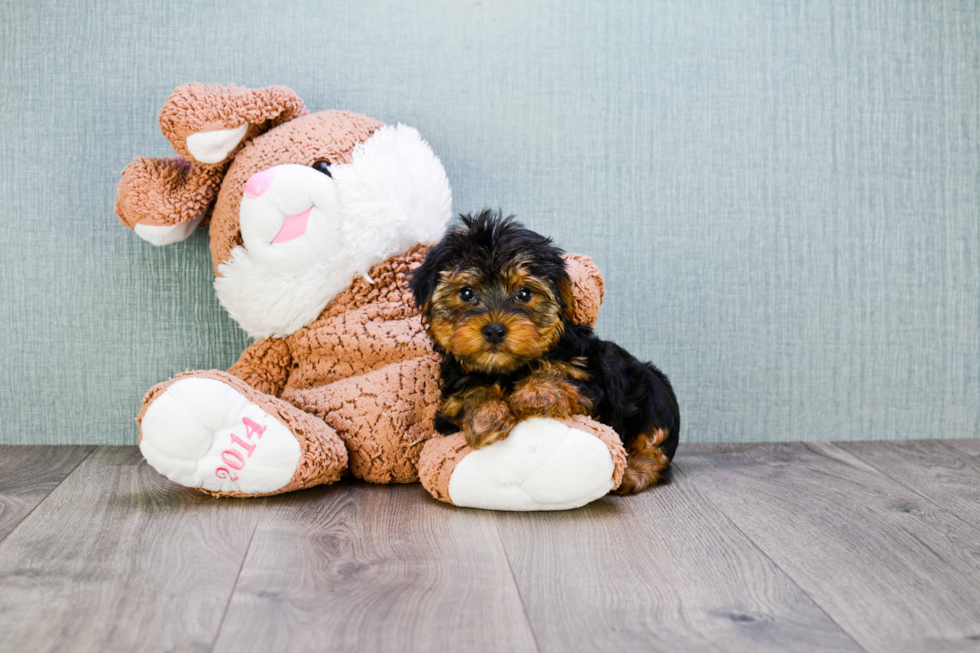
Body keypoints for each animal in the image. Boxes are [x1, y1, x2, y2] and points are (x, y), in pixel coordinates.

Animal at [410, 211, 676, 492]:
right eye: (466, 293)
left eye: (524, 293)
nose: (494, 330)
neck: (507, 369)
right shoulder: (448, 407)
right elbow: (470, 393)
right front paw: (486, 416)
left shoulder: (589, 384)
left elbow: (560, 375)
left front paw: (535, 393)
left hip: (656, 398)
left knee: (654, 444)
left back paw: (634, 471)